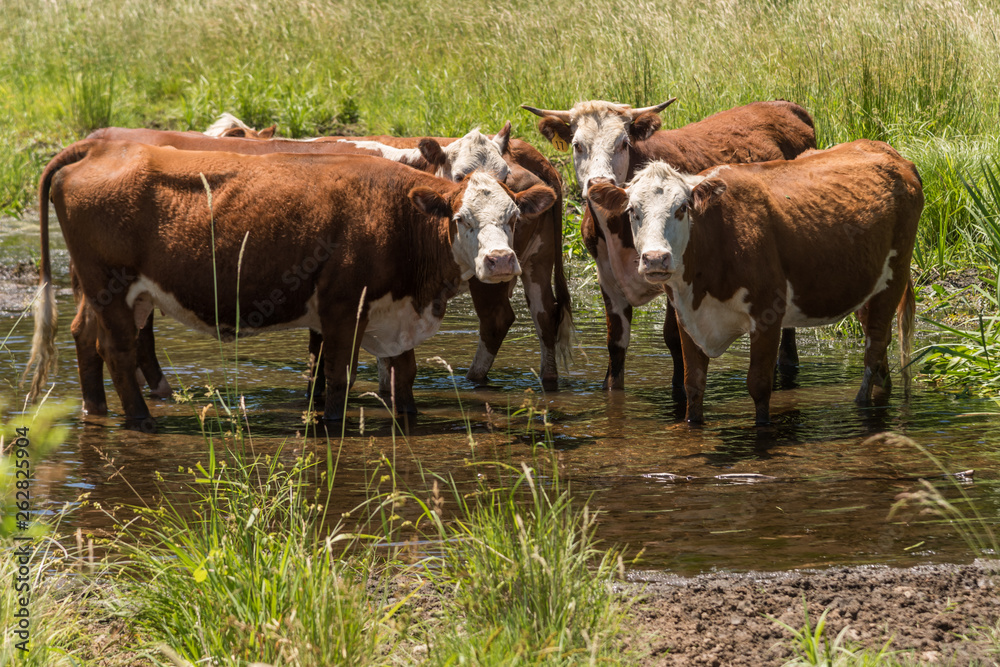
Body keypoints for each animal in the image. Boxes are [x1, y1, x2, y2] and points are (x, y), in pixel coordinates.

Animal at [25, 141, 556, 428]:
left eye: (512, 218)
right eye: (462, 219)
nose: (500, 260)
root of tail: (101, 147)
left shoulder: (396, 311)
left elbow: (403, 375)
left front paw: (406, 416)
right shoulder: (343, 308)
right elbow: (337, 377)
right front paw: (333, 423)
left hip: (118, 294)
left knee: (87, 340)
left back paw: (96, 411)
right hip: (110, 286)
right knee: (117, 350)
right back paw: (141, 421)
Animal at [520, 100, 816, 396]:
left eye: (623, 143)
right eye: (577, 144)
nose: (599, 182)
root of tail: (783, 104)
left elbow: (674, 339)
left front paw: (679, 392)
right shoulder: (607, 277)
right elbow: (616, 343)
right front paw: (611, 389)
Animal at [584, 138, 920, 426]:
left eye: (682, 208)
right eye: (632, 210)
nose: (656, 259)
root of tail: (890, 152)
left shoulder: (768, 312)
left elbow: (759, 385)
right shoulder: (686, 315)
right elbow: (693, 385)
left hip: (895, 275)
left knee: (875, 347)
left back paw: (863, 405)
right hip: (867, 285)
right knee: (880, 353)